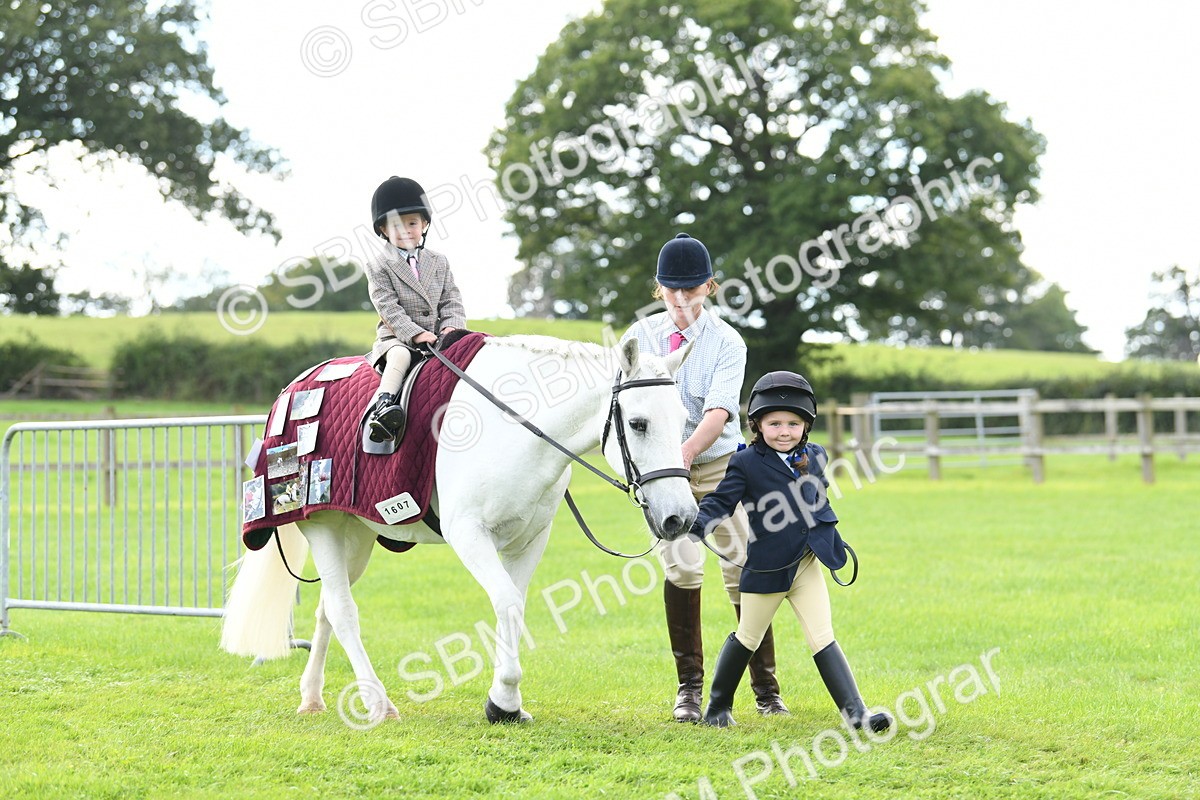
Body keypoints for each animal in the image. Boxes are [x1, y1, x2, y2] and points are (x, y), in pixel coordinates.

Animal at [220, 335, 698, 723]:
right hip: (324, 527)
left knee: (326, 609)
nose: (682, 517)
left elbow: (514, 606)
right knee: (342, 611)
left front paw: (506, 702)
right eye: (638, 424)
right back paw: (377, 703)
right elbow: (507, 603)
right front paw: (504, 701)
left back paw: (312, 697)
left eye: (682, 421)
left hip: (355, 536)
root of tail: (293, 389)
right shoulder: (469, 534)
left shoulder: (529, 541)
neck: (515, 430)